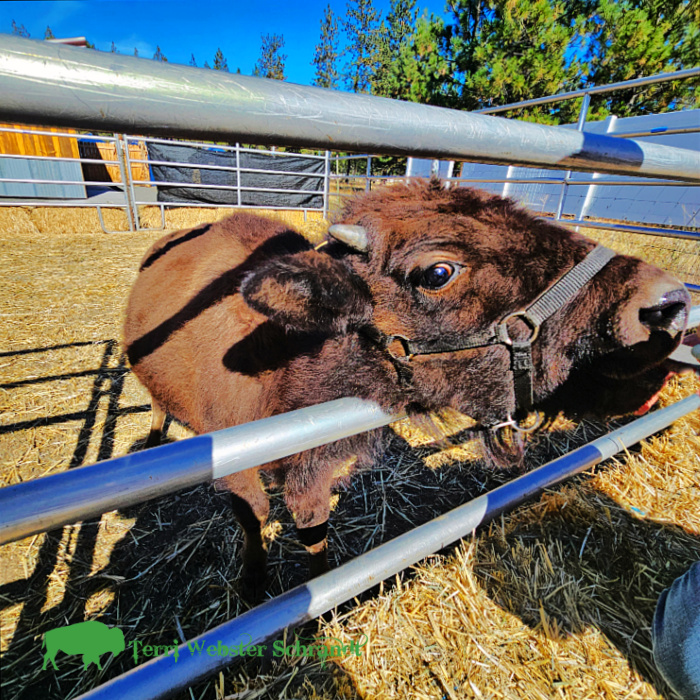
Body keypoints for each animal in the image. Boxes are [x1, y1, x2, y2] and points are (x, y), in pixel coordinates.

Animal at [124, 181, 691, 598]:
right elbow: (255, 518)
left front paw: (319, 591)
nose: (667, 304)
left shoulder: (314, 467)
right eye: (438, 271)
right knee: (156, 403)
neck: (284, 356)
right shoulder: (236, 467)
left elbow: (312, 524)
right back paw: (151, 441)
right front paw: (254, 585)